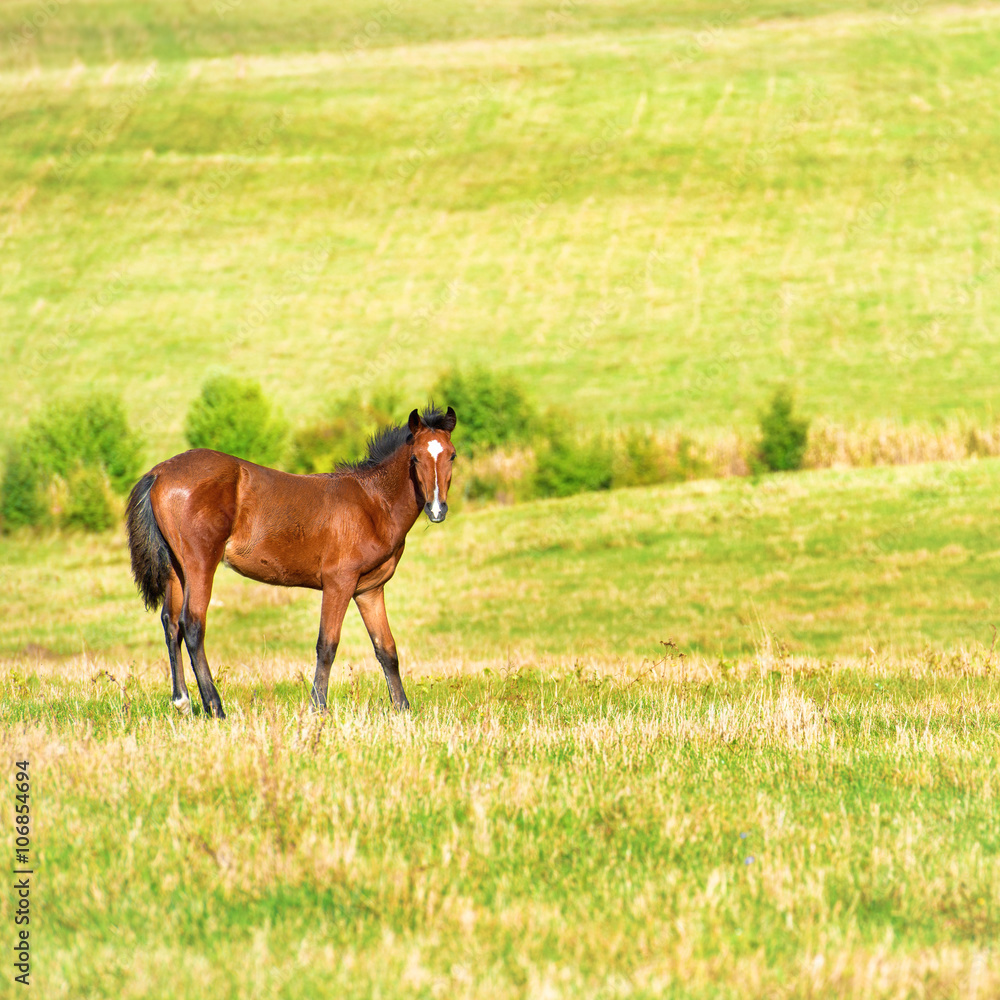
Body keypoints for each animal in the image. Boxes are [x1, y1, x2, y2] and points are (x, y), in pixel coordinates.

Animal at [125, 405, 457, 719]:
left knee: (170, 623)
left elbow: (386, 648)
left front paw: (403, 709)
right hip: (200, 563)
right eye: (415, 458)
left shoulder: (369, 590)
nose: (436, 509)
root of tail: (160, 471)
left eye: (452, 456)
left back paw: (181, 701)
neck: (373, 503)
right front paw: (318, 708)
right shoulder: (339, 582)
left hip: (176, 568)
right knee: (192, 625)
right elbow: (327, 645)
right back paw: (215, 707)